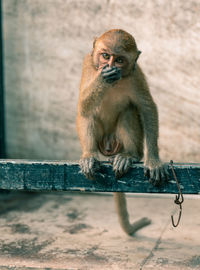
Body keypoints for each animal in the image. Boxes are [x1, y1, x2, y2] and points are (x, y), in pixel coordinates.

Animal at [76, 29, 167, 235]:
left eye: (119, 60)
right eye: (105, 56)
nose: (109, 67)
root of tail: (110, 146)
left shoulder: (136, 75)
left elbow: (147, 109)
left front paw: (153, 160)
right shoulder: (88, 65)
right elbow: (83, 106)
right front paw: (102, 78)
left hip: (118, 141)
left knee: (129, 110)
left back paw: (130, 156)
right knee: (88, 113)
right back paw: (89, 155)